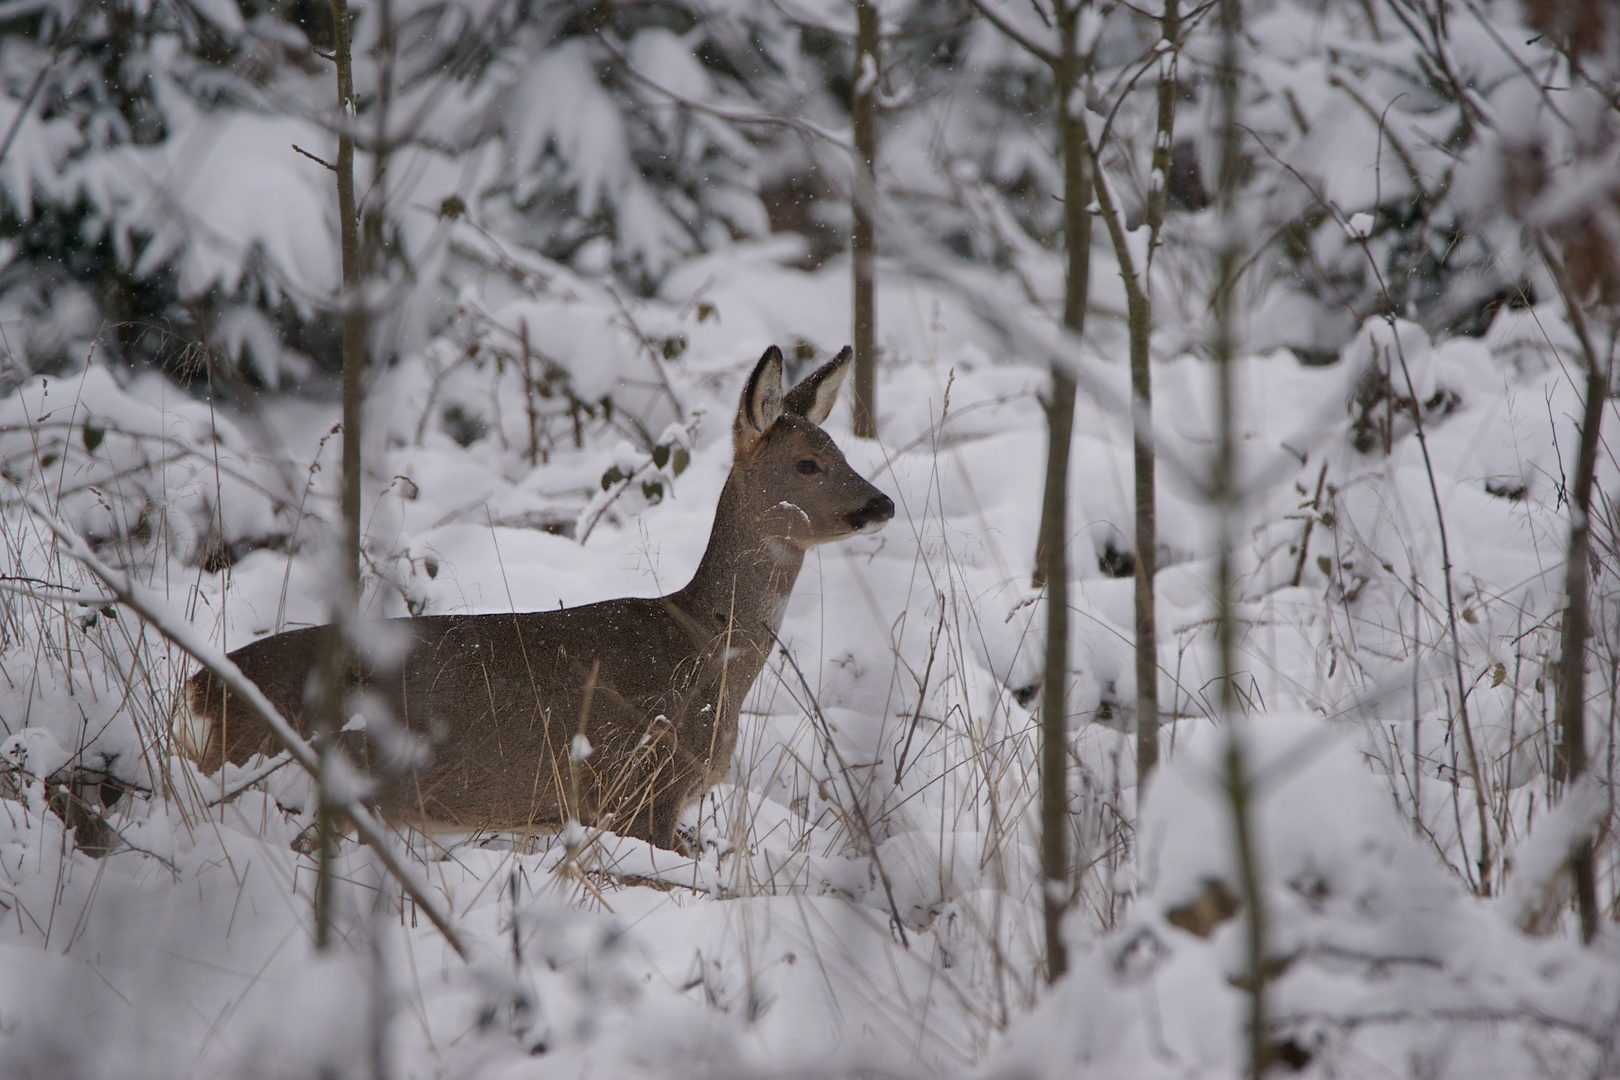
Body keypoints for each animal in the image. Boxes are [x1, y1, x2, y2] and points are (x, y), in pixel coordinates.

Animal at [189, 346, 900, 854]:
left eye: (839, 450)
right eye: (808, 463)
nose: (882, 503)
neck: (700, 653)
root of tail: (195, 693)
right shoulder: (635, 790)